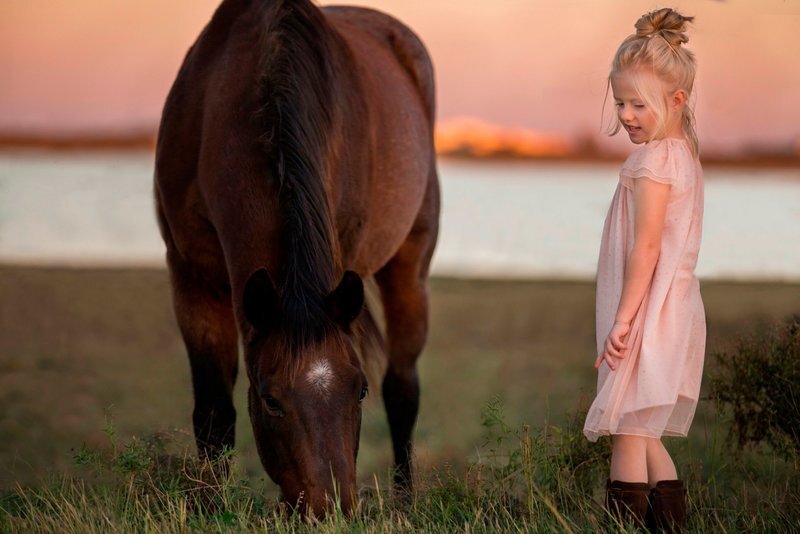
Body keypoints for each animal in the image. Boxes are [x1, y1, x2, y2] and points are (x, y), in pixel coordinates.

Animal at [153, 0, 440, 520]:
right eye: (271, 401)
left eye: (358, 389)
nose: (332, 511)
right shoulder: (192, 277)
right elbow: (213, 409)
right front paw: (208, 507)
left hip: (410, 270)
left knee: (402, 390)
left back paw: (406, 502)